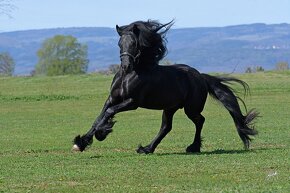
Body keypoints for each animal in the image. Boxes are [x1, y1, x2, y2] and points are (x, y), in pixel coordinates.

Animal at [72, 20, 258, 154]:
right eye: (119, 43)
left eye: (134, 44)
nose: (125, 66)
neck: (130, 75)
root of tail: (200, 77)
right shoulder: (112, 98)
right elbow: (100, 116)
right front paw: (82, 142)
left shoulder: (132, 102)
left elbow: (108, 113)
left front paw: (101, 133)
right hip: (170, 107)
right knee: (166, 127)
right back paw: (147, 149)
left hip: (190, 108)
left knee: (199, 120)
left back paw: (193, 147)